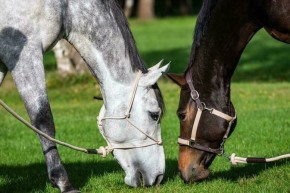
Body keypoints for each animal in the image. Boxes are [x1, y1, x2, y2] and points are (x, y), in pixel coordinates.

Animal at [0, 0, 169, 192]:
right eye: (154, 115)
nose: (158, 177)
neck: (64, 8)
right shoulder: (25, 54)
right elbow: (44, 121)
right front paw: (63, 182)